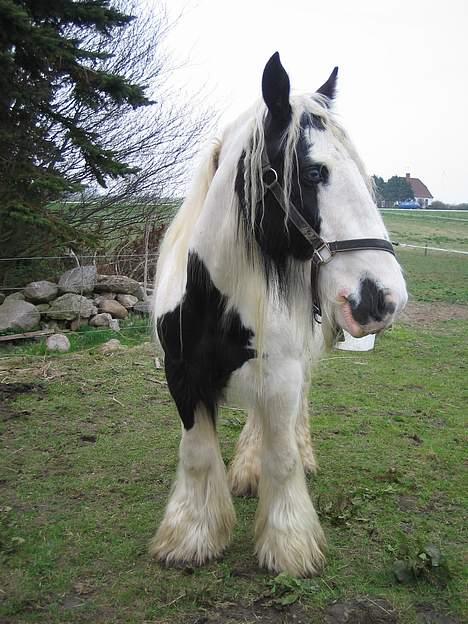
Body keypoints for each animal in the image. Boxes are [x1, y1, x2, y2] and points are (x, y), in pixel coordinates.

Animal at [150, 51, 406, 576]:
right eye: (312, 173)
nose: (383, 297)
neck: (214, 303)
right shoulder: (181, 377)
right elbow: (197, 453)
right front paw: (191, 537)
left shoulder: (283, 373)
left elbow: (282, 456)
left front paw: (290, 545)